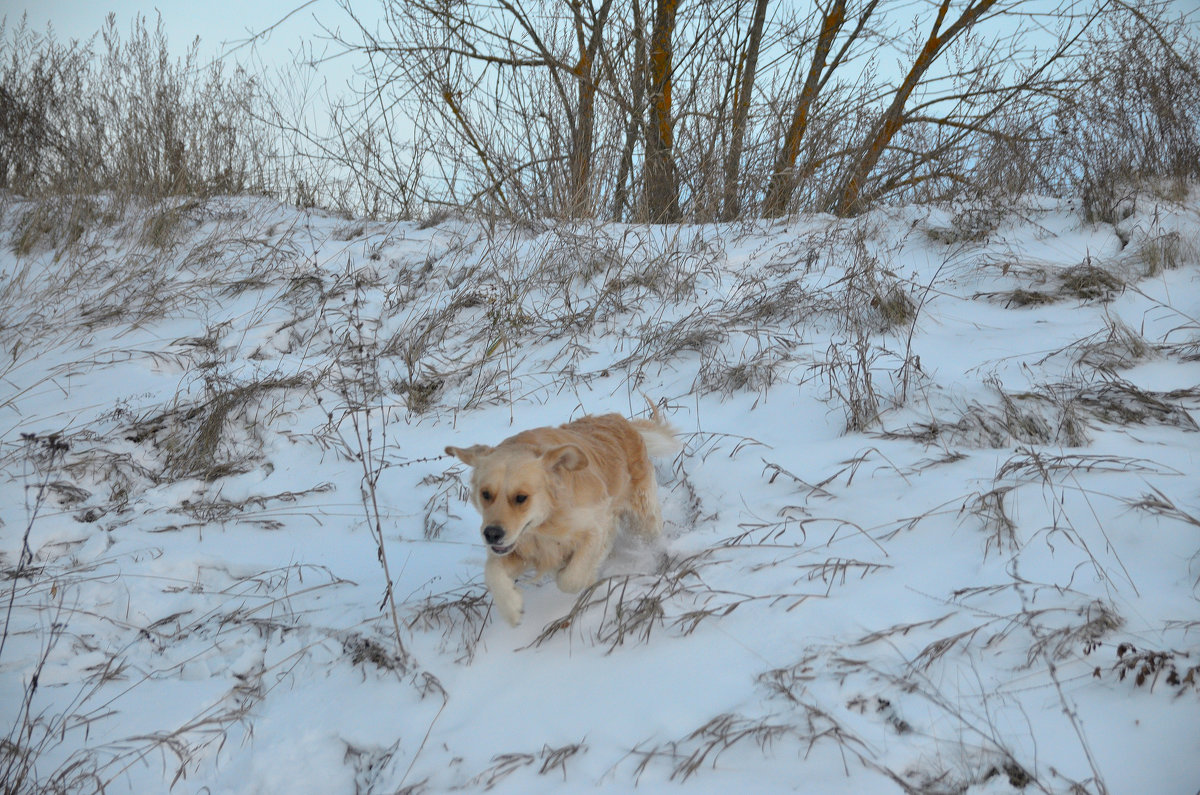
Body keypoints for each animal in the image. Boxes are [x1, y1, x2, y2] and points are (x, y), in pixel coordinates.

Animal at [448, 405, 681, 629]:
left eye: (521, 497)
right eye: (485, 494)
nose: (491, 534)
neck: (546, 520)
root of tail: (621, 420)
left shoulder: (599, 524)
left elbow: (570, 578)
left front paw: (582, 576)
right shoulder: (523, 550)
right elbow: (492, 571)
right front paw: (511, 608)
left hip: (643, 518)